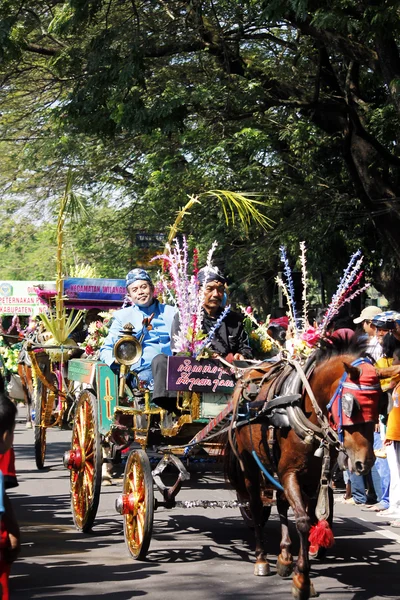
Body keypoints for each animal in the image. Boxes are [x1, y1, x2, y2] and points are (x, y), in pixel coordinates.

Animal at [225, 338, 378, 600]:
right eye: (350, 405)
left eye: (381, 404)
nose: (364, 462)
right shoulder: (290, 473)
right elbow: (304, 521)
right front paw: (302, 580)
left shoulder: (314, 476)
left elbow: (312, 515)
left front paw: (296, 563)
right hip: (249, 463)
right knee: (255, 505)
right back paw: (262, 559)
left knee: (281, 503)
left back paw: (285, 556)